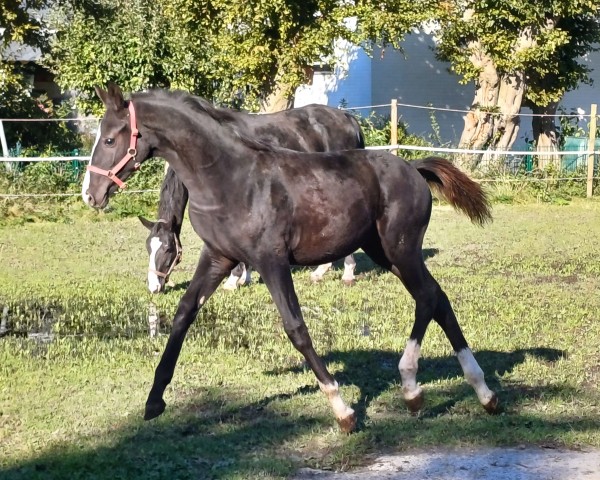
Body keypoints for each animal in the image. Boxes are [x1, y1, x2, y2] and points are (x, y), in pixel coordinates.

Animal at [137, 102, 364, 292]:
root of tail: (347, 117)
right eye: (148, 247)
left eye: (167, 249)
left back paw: (347, 273)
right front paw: (245, 277)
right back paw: (321, 271)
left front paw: (232, 280)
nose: (154, 287)